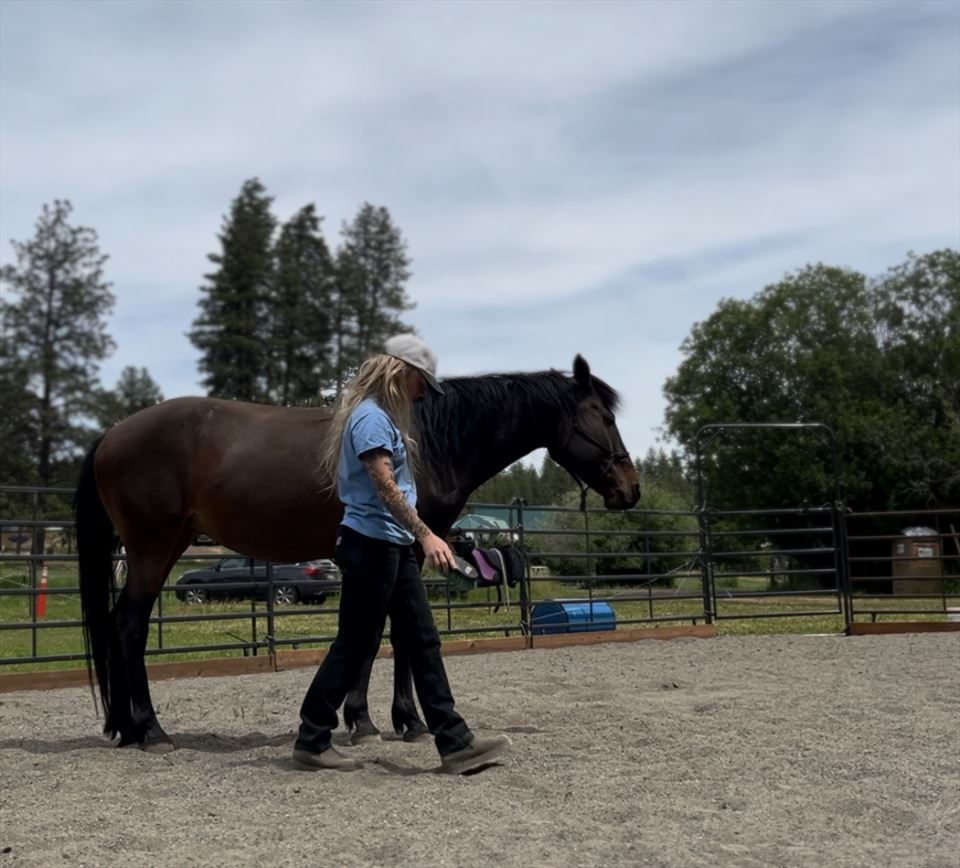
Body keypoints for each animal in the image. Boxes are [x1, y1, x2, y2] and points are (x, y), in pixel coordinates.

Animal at [76, 354, 641, 751]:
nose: (630, 490)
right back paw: (151, 731)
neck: (428, 440)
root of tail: (112, 433)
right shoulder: (409, 547)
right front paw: (405, 721)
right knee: (129, 625)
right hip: (152, 548)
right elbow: (399, 634)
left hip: (165, 546)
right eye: (603, 417)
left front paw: (369, 720)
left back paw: (125, 727)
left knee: (116, 622)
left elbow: (374, 636)